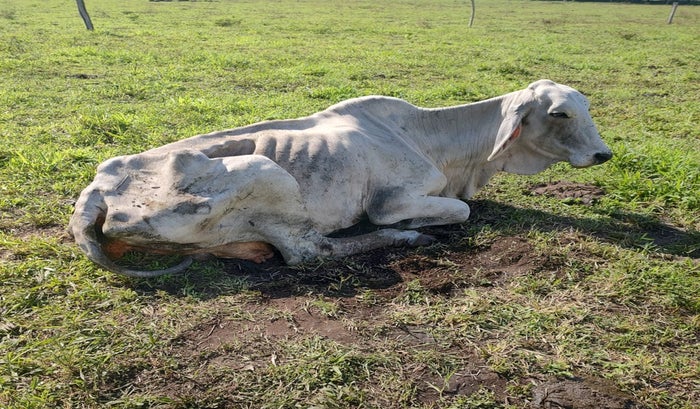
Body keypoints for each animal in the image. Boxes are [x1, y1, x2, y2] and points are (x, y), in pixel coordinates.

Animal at [69, 79, 612, 277]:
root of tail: (96, 192)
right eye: (560, 113)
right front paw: (420, 226)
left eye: (586, 105)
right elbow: (459, 210)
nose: (604, 154)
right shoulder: (391, 201)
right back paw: (409, 239)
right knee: (310, 252)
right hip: (269, 175)